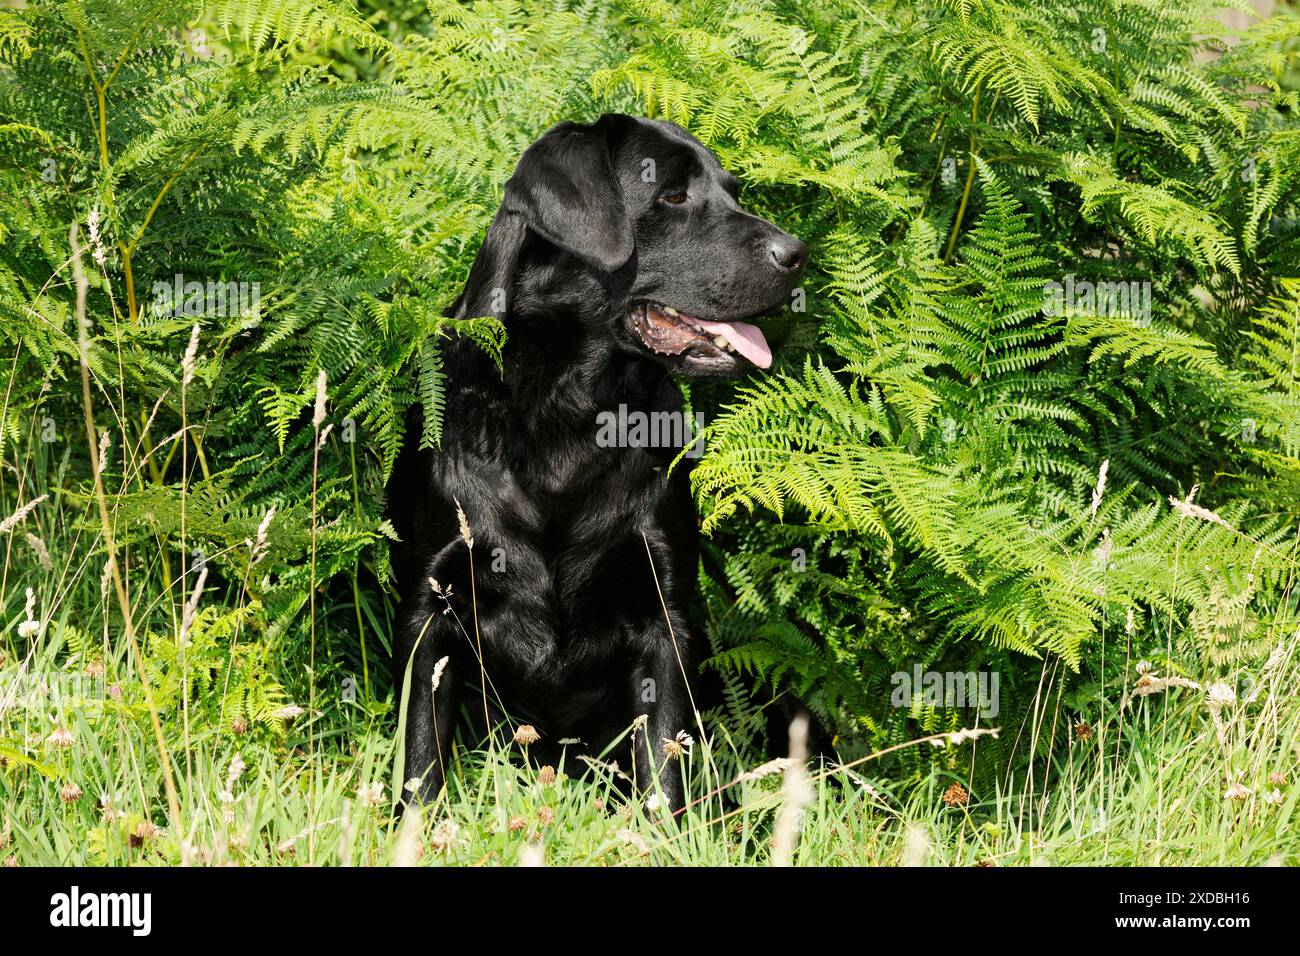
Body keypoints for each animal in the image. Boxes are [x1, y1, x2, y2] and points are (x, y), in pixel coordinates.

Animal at [387, 115, 800, 811]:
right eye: (672, 195)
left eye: (733, 191)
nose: (797, 253)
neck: (573, 416)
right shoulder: (432, 608)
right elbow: (420, 757)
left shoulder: (665, 616)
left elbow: (662, 762)